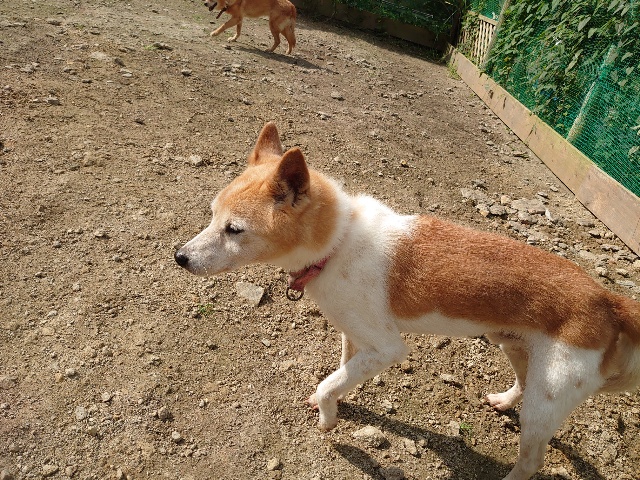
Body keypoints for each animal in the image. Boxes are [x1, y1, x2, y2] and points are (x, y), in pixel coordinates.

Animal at [174, 122, 640, 480]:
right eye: (212, 214)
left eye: (234, 230)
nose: (180, 257)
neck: (338, 242)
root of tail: (608, 299)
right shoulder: (354, 336)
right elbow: (341, 373)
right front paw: (338, 401)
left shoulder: (388, 348)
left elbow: (329, 383)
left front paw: (328, 418)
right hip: (515, 348)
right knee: (523, 387)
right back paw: (503, 401)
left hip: (548, 397)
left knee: (530, 462)